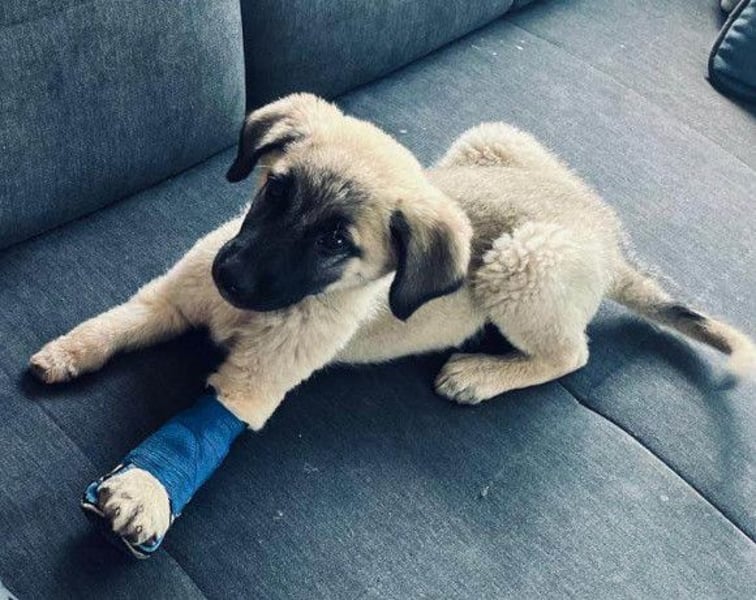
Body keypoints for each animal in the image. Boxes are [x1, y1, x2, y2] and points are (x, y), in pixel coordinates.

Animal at [29, 93, 755, 546]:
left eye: (334, 242)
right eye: (275, 190)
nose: (228, 278)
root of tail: (604, 232)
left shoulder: (249, 389)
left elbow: (198, 422)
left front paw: (146, 490)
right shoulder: (170, 299)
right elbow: (114, 324)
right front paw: (68, 353)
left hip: (521, 263)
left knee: (571, 354)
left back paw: (482, 374)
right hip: (486, 141)